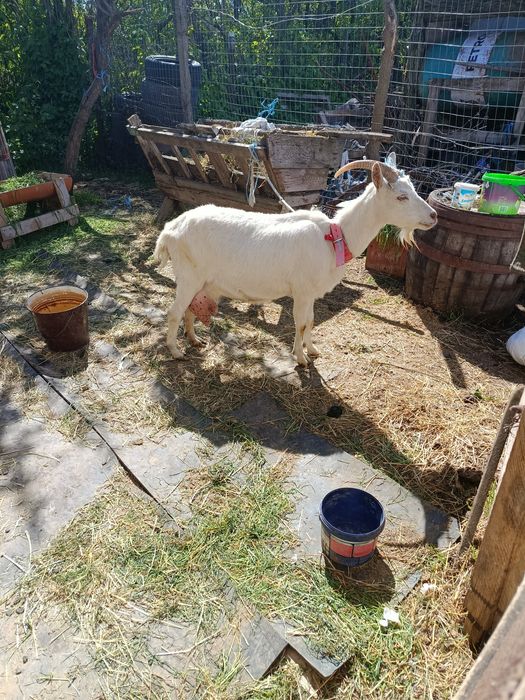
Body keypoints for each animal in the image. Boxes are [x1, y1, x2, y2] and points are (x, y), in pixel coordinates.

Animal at [154, 160, 437, 366]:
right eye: (401, 197)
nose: (433, 215)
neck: (336, 237)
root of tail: (171, 229)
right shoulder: (301, 291)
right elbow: (300, 323)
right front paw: (300, 359)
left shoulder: (310, 294)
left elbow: (310, 321)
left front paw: (312, 351)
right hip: (188, 276)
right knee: (174, 312)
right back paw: (176, 351)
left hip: (202, 282)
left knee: (189, 310)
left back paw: (194, 341)